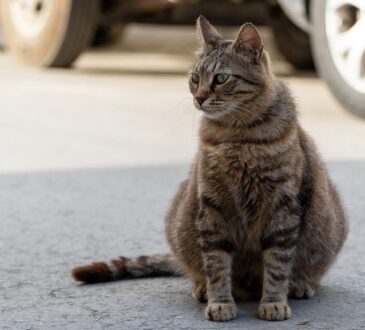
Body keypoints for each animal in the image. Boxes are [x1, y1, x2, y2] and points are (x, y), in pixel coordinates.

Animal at [71, 16, 346, 322]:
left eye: (221, 78)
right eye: (194, 78)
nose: (199, 98)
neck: (236, 136)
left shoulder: (282, 207)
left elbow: (277, 263)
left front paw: (274, 301)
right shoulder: (213, 205)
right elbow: (216, 263)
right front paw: (220, 302)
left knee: (306, 269)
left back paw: (300, 284)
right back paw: (203, 287)